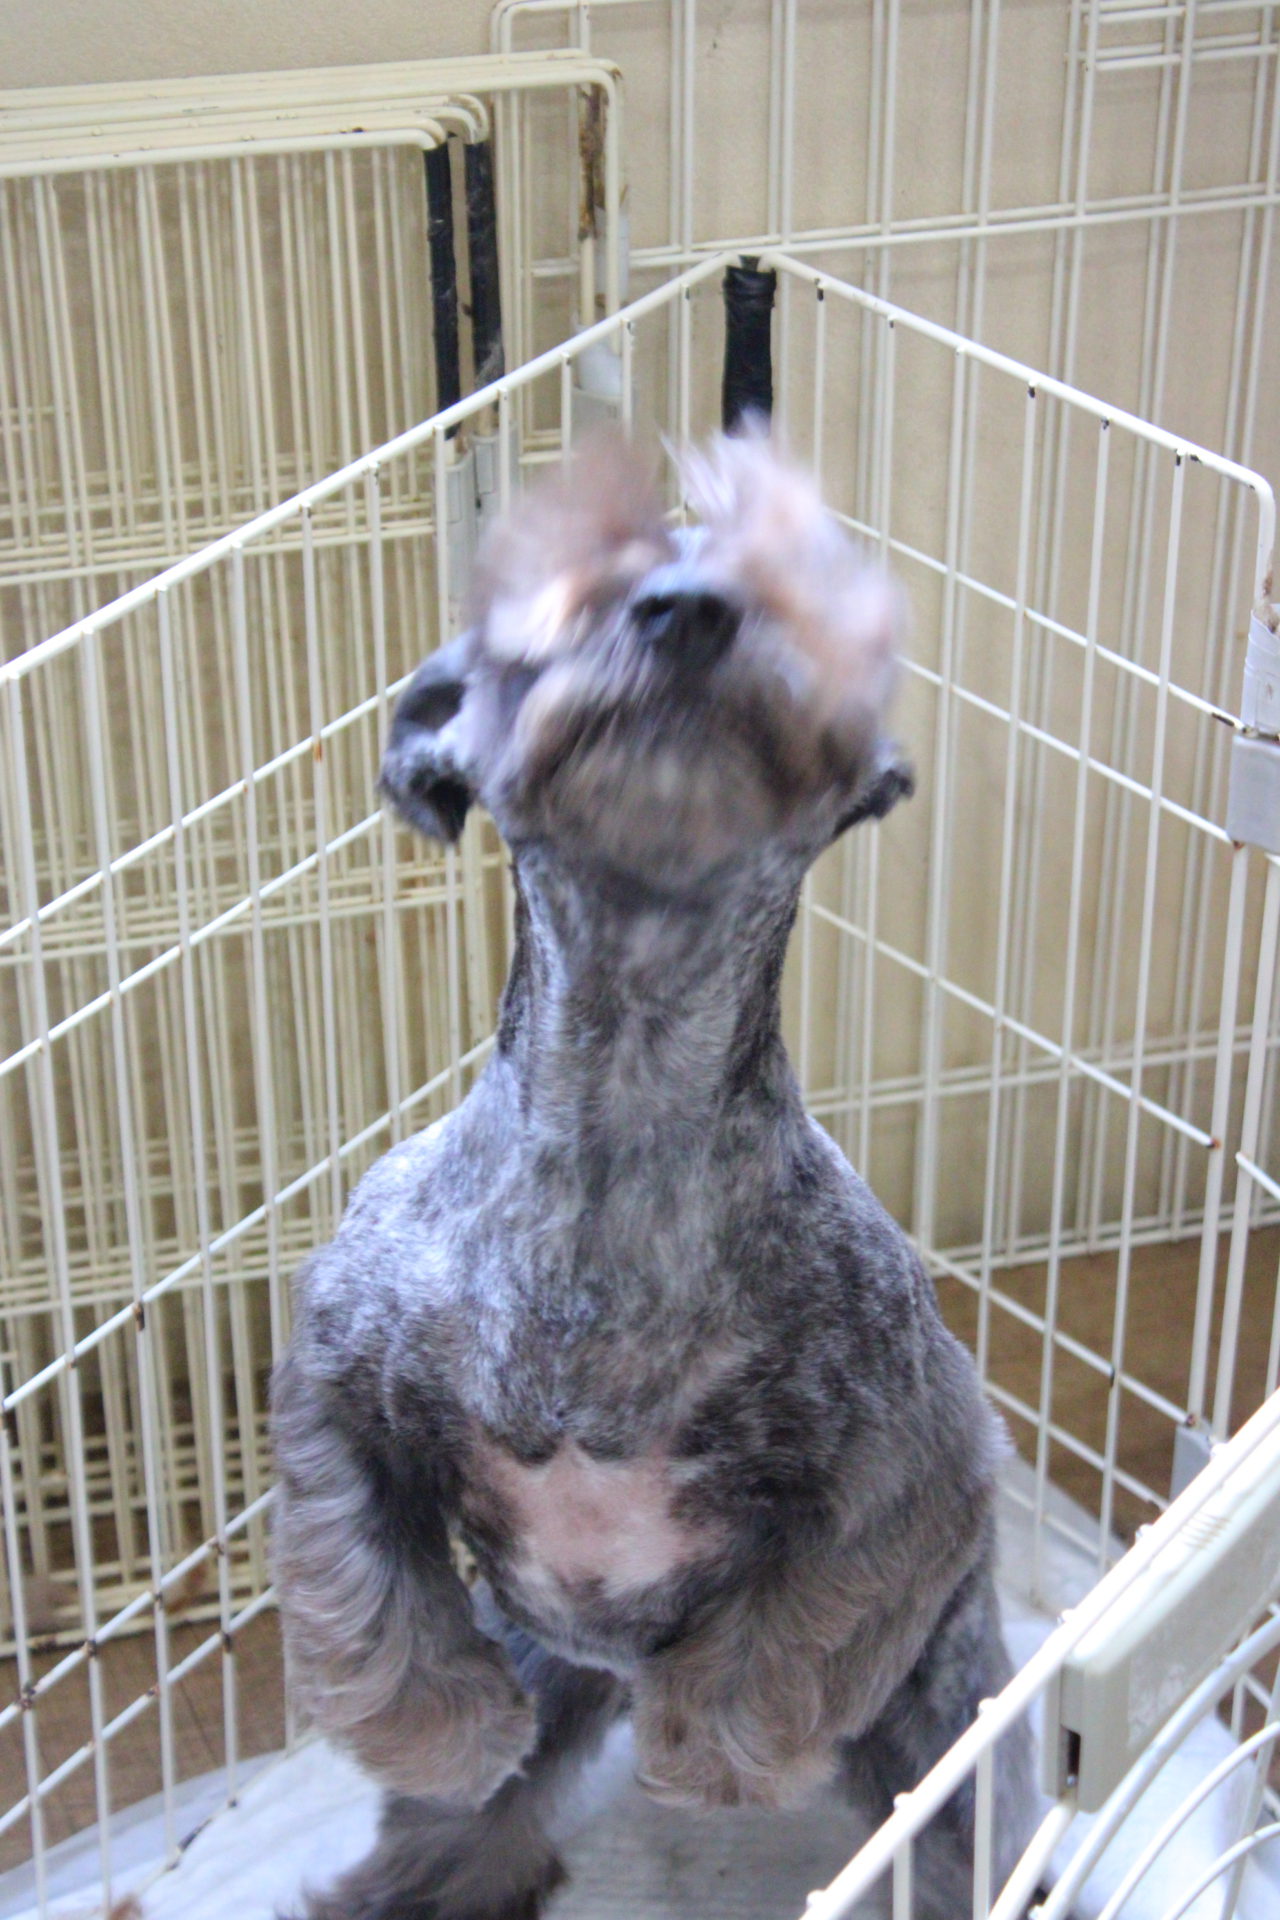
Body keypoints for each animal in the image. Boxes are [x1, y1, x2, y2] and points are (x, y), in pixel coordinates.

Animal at [271, 431, 1035, 1920]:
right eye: (563, 587)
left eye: (795, 588)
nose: (684, 611)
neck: (615, 1140)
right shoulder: (341, 1391)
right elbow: (371, 1595)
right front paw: (443, 1725)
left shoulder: (912, 1462)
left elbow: (799, 1624)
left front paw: (715, 1752)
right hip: (541, 1657)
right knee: (468, 1821)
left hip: (937, 1735)